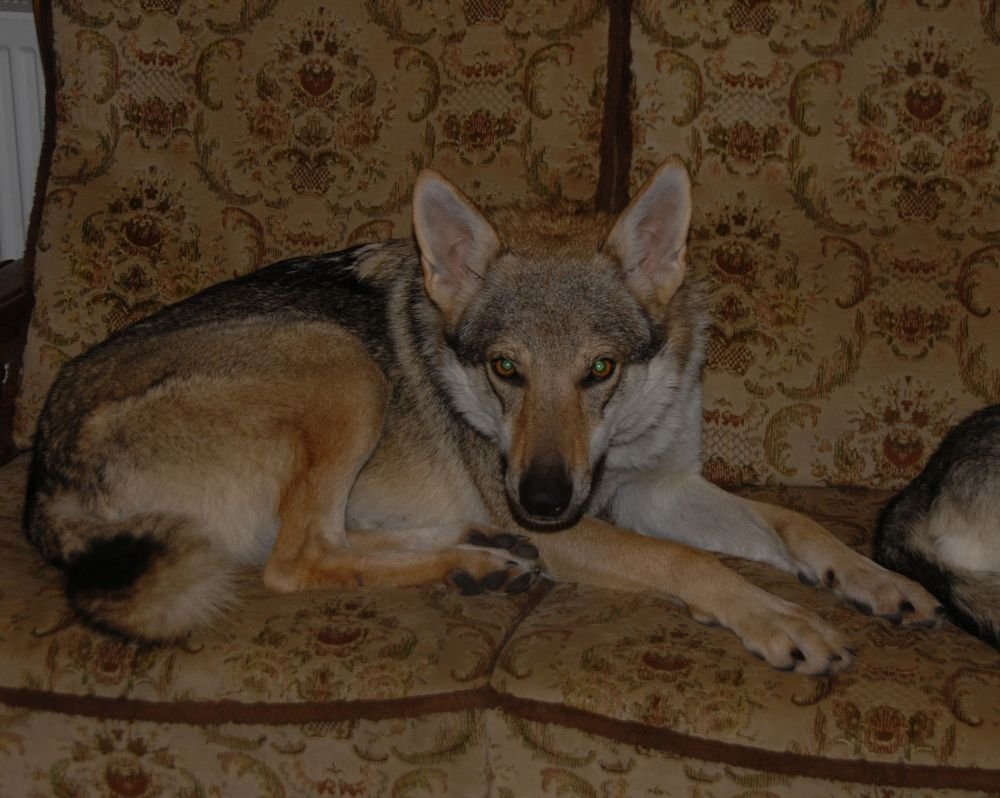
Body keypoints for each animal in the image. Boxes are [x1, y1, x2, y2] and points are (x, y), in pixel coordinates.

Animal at [23, 159, 943, 675]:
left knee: (335, 541)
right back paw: (478, 557)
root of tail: (42, 487)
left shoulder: (657, 487)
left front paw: (877, 580)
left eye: (600, 371)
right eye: (506, 370)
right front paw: (780, 621)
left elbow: (794, 526)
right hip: (341, 364)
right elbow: (691, 565)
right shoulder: (587, 522)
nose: (537, 503)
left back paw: (481, 555)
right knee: (297, 560)